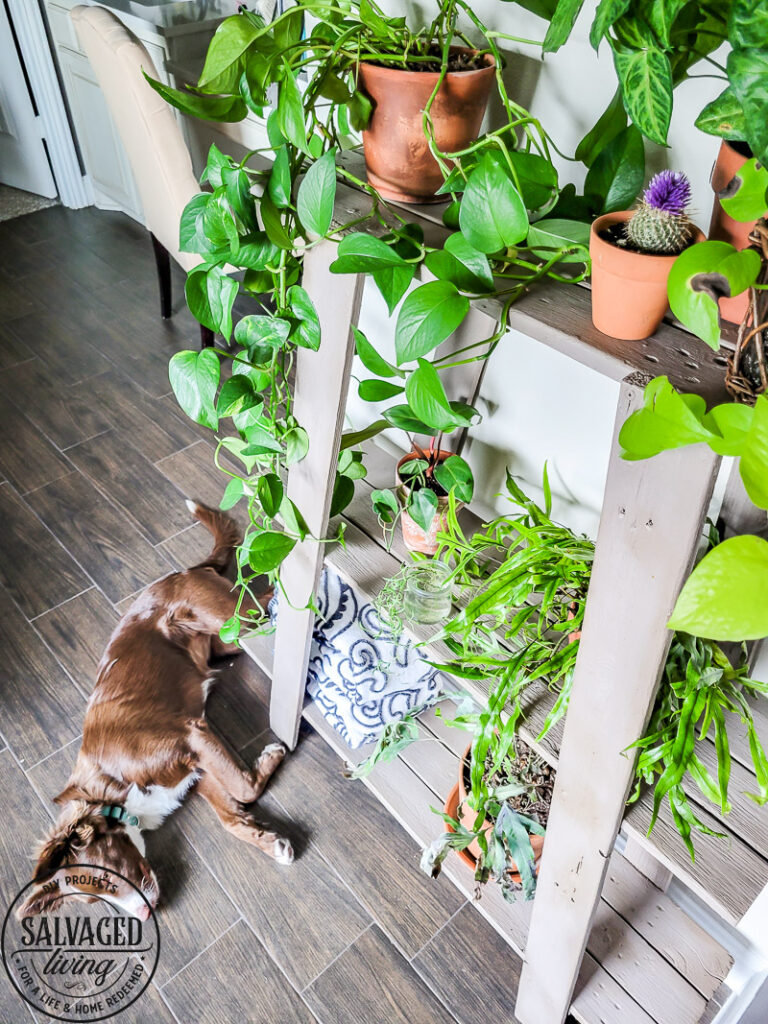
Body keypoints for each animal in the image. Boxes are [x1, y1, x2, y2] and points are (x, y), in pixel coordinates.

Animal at [20, 501, 294, 921]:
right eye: (92, 900)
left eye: (106, 875)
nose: (146, 915)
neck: (109, 787)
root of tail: (182, 571)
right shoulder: (194, 768)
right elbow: (231, 816)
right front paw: (269, 841)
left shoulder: (192, 735)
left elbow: (243, 788)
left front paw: (271, 756)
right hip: (230, 639)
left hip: (235, 617)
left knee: (269, 596)